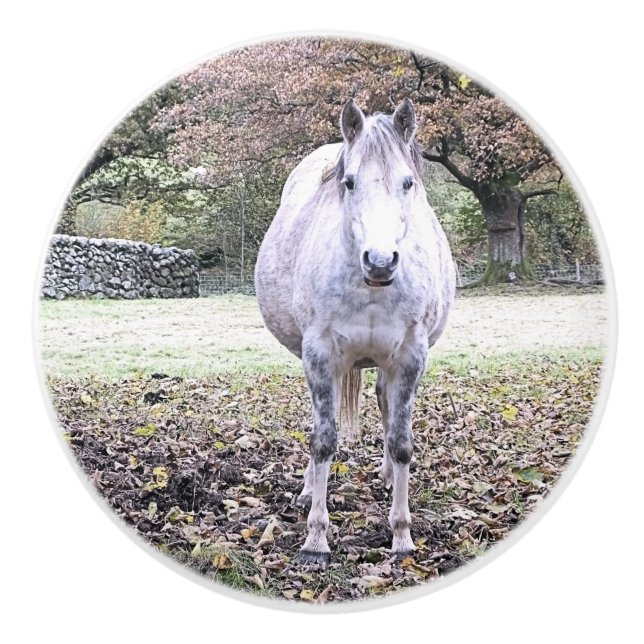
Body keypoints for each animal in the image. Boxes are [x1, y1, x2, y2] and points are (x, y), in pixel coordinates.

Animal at [255, 98, 455, 564]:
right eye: (348, 182)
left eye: (408, 183)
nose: (380, 262)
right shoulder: (320, 356)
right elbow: (323, 440)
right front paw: (315, 540)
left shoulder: (410, 357)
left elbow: (402, 440)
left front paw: (401, 536)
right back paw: (308, 487)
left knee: (384, 404)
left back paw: (387, 476)